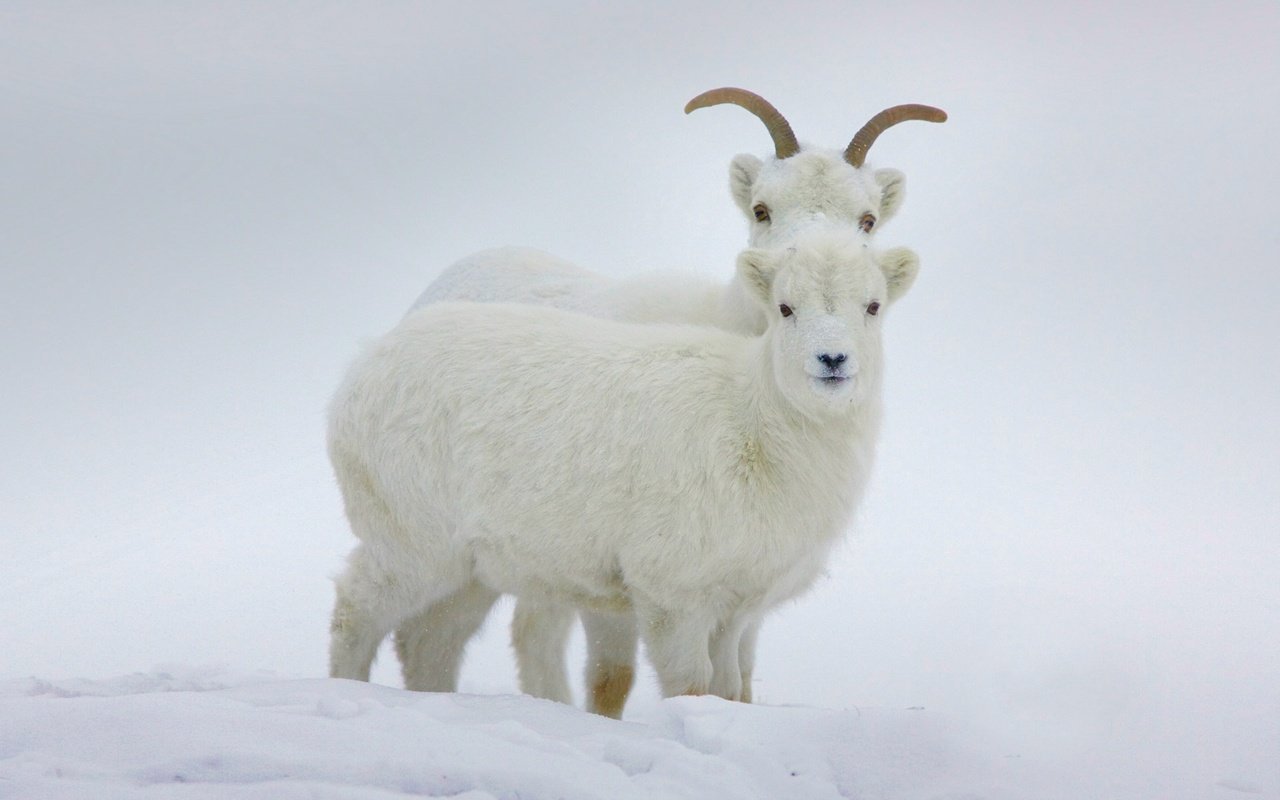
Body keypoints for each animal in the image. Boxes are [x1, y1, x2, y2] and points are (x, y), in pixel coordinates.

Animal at [330, 230, 921, 706]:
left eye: (873, 306)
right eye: (785, 308)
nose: (832, 360)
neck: (755, 424)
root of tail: (361, 368)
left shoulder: (734, 607)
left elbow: (729, 689)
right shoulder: (673, 594)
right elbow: (691, 686)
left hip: (470, 567)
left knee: (429, 641)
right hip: (410, 540)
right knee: (356, 610)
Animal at [399, 88, 952, 716]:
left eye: (868, 219)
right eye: (761, 209)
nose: (811, 264)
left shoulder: (742, 593)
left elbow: (739, 682)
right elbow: (613, 678)